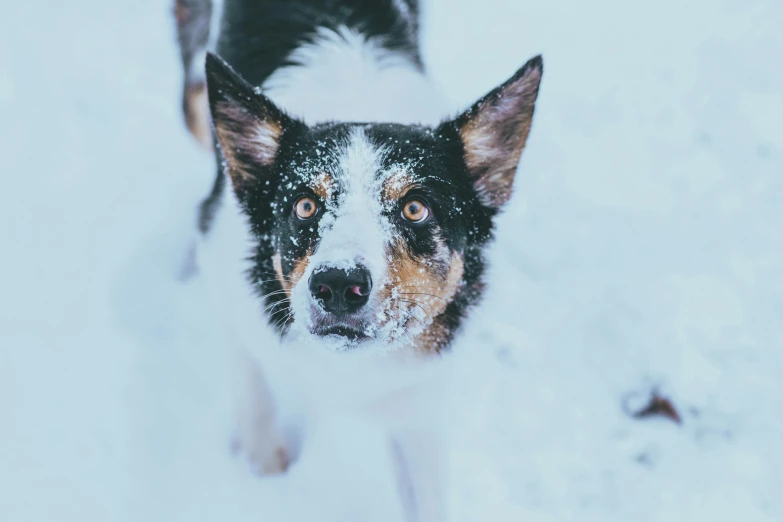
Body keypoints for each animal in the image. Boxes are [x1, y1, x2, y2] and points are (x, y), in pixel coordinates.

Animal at [175, 1, 544, 516]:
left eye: (415, 208)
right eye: (304, 205)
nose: (336, 286)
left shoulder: (418, 402)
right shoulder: (227, 276)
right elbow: (251, 383)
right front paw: (262, 463)